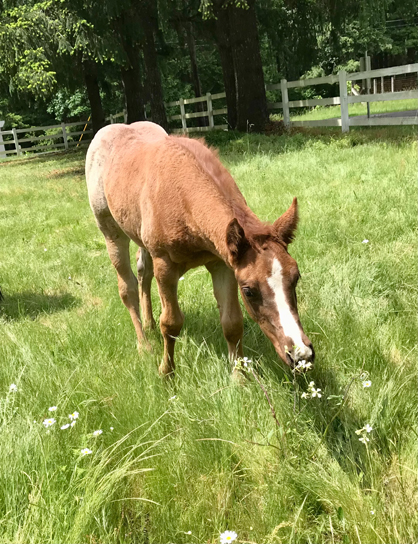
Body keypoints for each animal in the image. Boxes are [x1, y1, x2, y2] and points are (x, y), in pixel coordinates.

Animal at [85, 120, 314, 374]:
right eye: (248, 290)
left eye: (296, 277)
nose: (301, 356)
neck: (182, 196)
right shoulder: (165, 264)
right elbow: (171, 323)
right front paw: (167, 373)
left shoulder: (222, 263)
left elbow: (232, 323)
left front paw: (239, 377)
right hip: (111, 231)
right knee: (128, 287)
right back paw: (144, 345)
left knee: (144, 271)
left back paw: (149, 324)